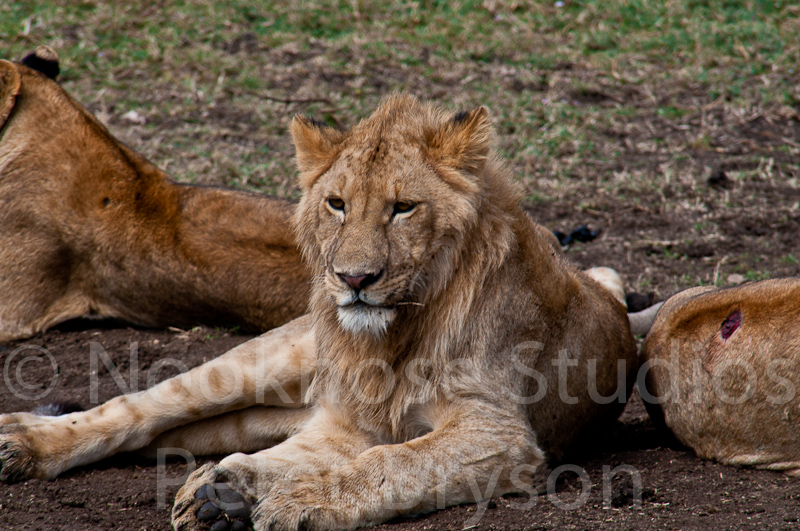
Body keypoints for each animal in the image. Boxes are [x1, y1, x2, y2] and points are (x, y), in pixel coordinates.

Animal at [0, 94, 640, 530]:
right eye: (337, 205)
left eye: (403, 208)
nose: (354, 279)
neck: (394, 335)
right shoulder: (355, 422)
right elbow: (379, 456)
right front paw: (241, 492)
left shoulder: (498, 432)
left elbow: (390, 462)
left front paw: (280, 498)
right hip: (260, 363)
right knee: (138, 411)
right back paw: (25, 445)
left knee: (179, 438)